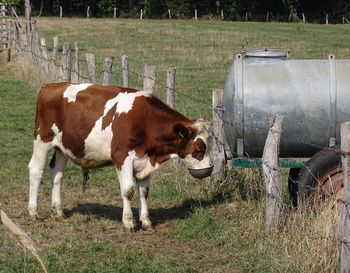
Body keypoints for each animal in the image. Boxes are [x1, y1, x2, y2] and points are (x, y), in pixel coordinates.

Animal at [27, 82, 212, 230]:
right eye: (200, 147)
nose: (209, 169)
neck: (146, 121)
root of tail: (51, 86)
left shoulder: (145, 160)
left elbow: (144, 192)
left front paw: (146, 221)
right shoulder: (122, 157)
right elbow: (128, 190)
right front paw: (129, 222)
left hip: (63, 147)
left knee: (56, 174)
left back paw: (58, 212)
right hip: (42, 139)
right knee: (36, 171)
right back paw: (33, 212)